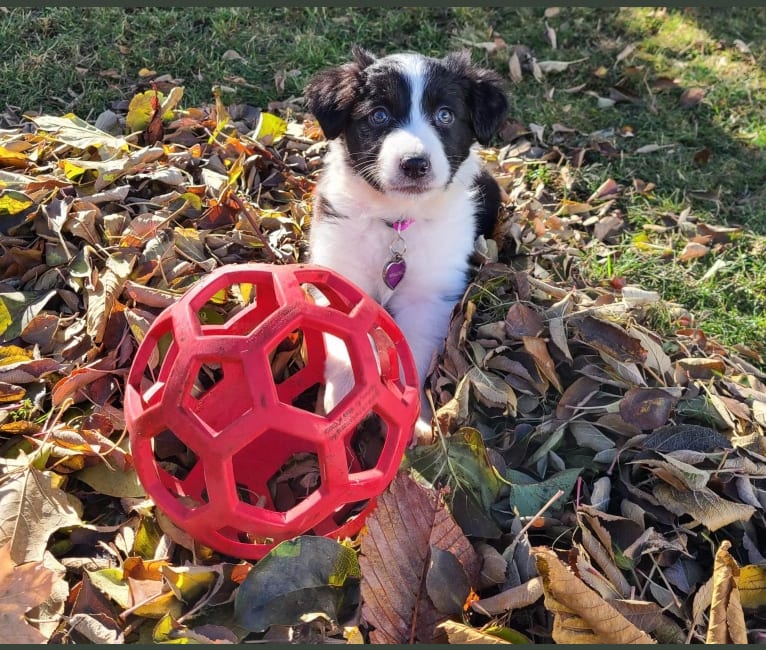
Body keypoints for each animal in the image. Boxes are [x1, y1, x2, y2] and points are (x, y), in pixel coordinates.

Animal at [304, 44, 510, 440]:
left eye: (445, 115)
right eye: (379, 116)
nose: (415, 164)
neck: (397, 219)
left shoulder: (428, 297)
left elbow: (411, 351)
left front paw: (415, 418)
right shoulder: (341, 271)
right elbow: (345, 338)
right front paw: (342, 401)